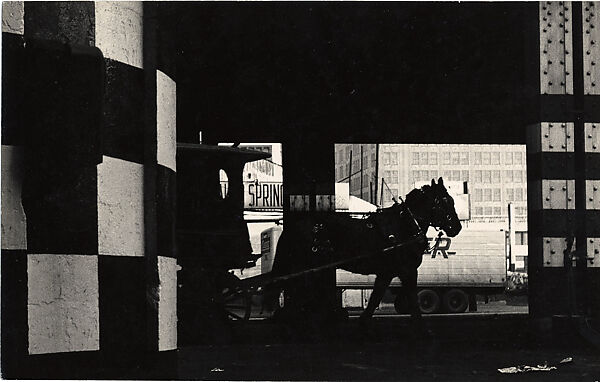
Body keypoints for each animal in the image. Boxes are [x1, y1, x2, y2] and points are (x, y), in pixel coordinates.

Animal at [270, 178, 462, 330]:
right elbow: (413, 300)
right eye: (444, 201)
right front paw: (421, 328)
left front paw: (363, 323)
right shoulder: (407, 271)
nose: (456, 227)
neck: (406, 225)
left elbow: (375, 298)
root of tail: (293, 228)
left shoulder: (386, 273)